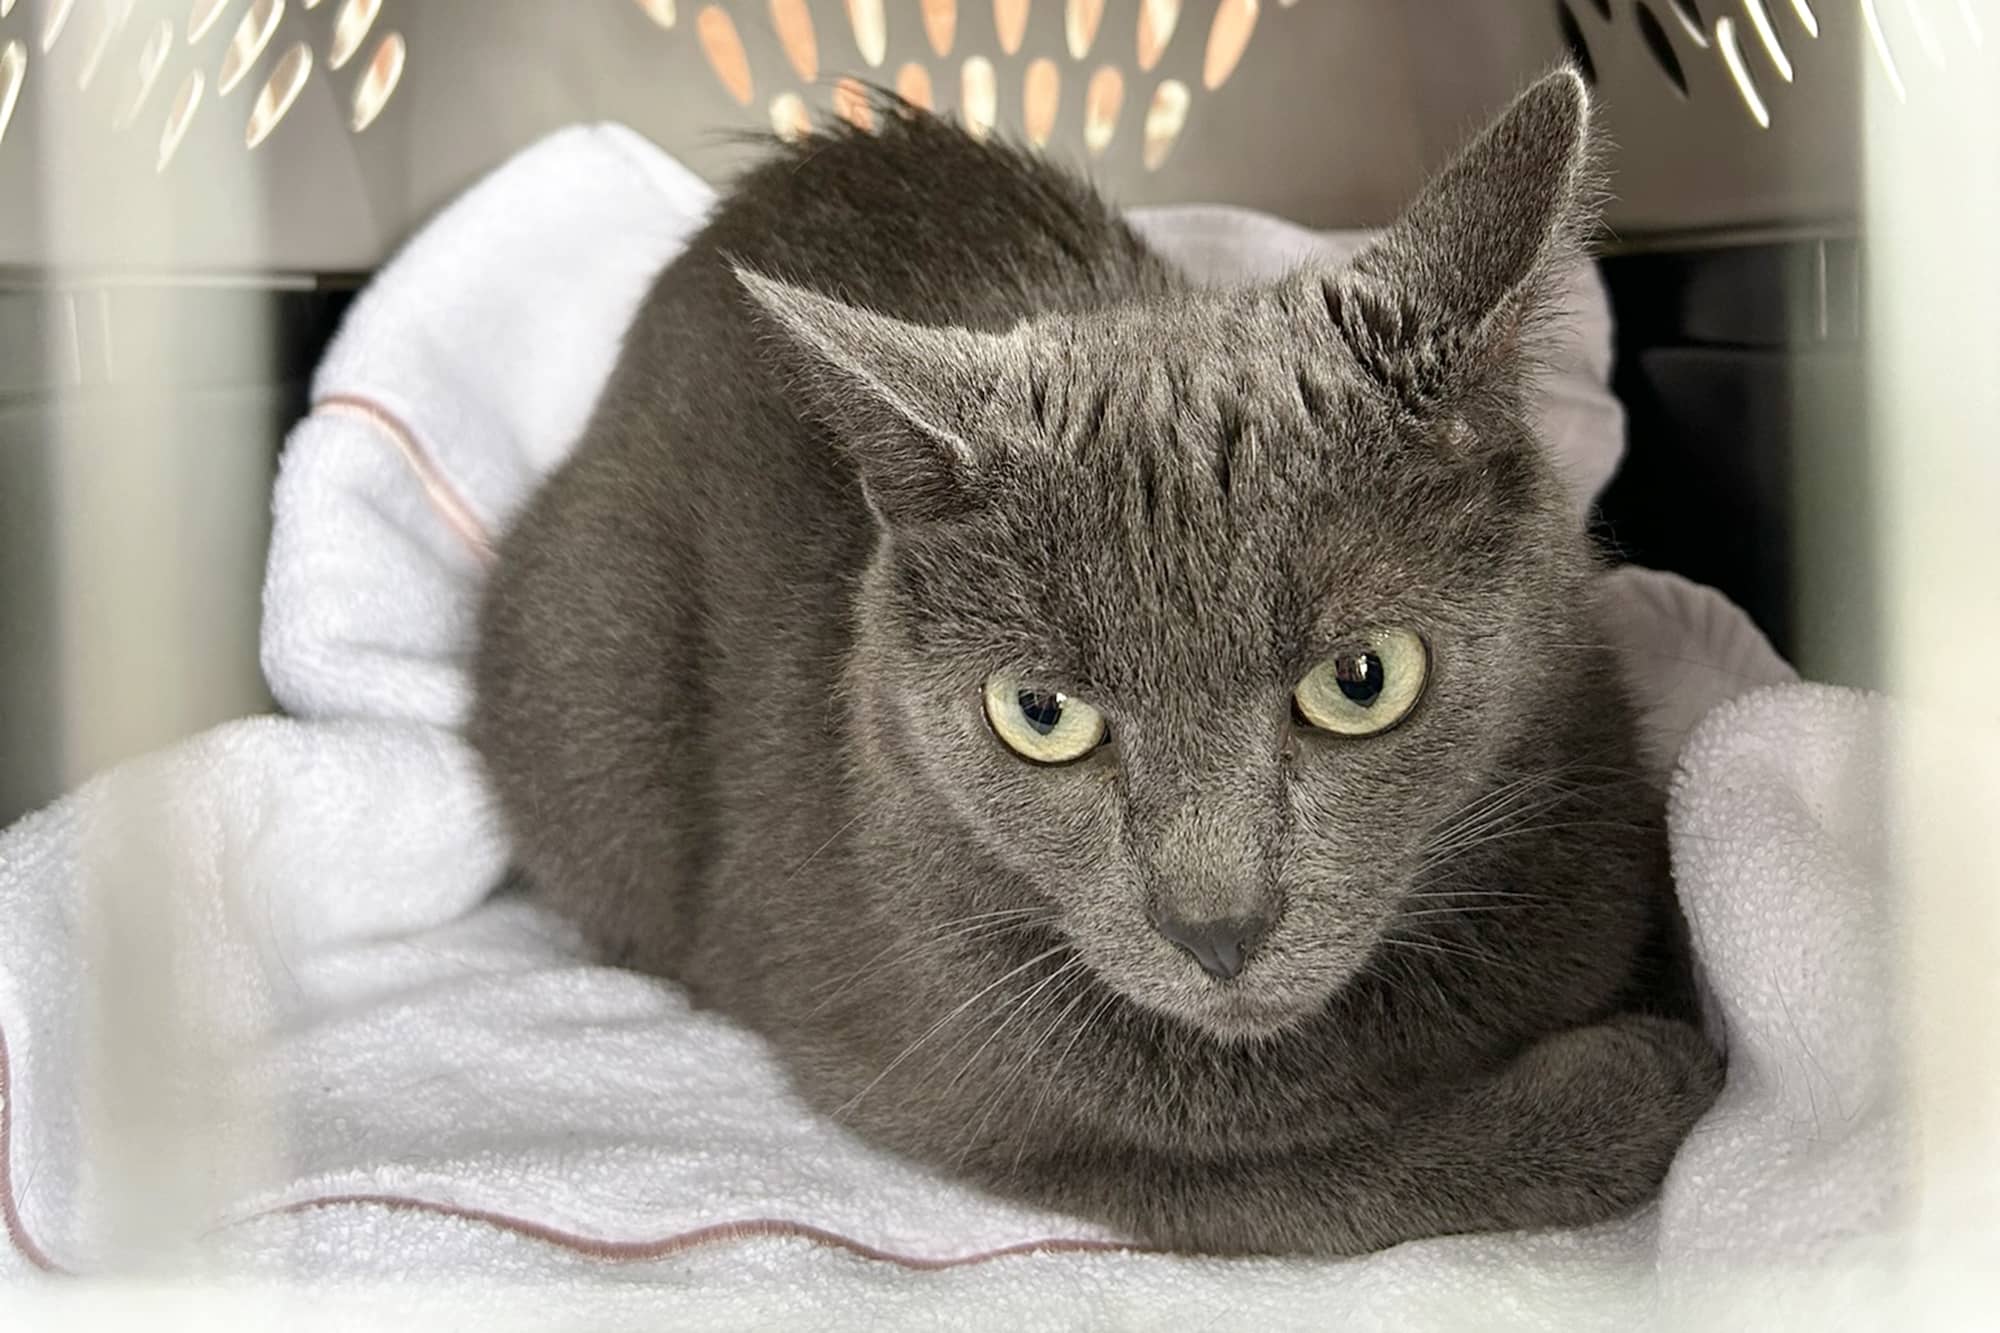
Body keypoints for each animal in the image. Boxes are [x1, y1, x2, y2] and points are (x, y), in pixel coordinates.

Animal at [468, 70, 1720, 1256]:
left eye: (1361, 678)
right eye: (1039, 712)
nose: (1215, 928)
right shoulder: (1007, 1110)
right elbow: (1335, 1177)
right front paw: (1655, 1073)